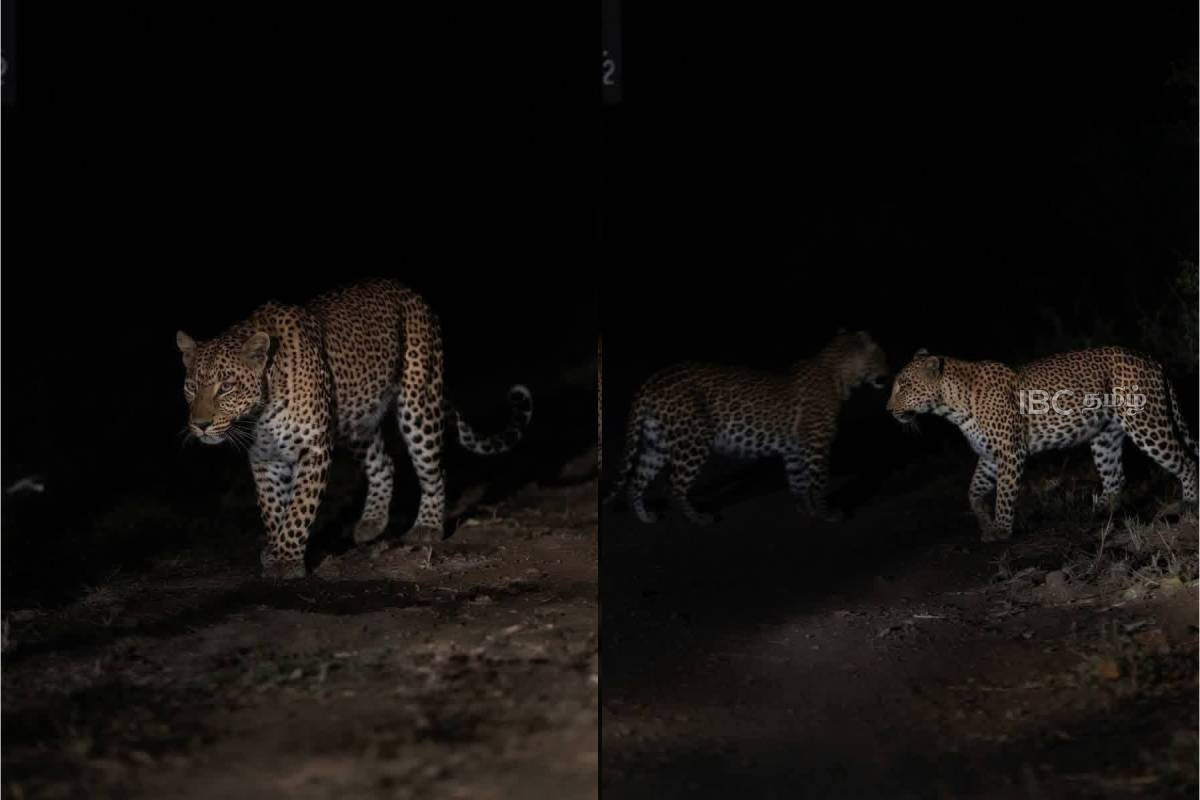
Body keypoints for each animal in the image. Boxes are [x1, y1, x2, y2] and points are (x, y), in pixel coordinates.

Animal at [177, 279, 533, 579]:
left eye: (226, 387)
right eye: (191, 388)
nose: (201, 425)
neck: (260, 409)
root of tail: (409, 291)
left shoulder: (313, 449)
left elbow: (298, 510)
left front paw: (286, 560)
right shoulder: (265, 458)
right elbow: (274, 509)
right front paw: (275, 549)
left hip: (418, 403)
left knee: (434, 469)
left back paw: (427, 527)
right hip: (358, 421)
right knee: (383, 464)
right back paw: (372, 522)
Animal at [606, 330, 890, 525]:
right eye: (882, 357)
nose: (889, 372)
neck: (838, 375)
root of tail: (651, 381)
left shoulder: (795, 450)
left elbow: (798, 482)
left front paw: (806, 511)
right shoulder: (817, 446)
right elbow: (818, 483)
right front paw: (827, 514)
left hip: (657, 441)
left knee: (636, 479)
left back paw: (646, 518)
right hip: (694, 442)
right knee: (673, 484)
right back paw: (699, 519)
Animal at [886, 346, 1198, 541]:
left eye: (905, 386)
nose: (888, 410)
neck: (951, 406)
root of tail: (1151, 358)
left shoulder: (1009, 452)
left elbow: (1004, 496)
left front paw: (1002, 530)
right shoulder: (989, 457)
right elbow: (973, 492)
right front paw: (986, 525)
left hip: (1146, 424)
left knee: (1186, 461)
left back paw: (1188, 505)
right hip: (1105, 437)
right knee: (1115, 477)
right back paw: (1098, 514)